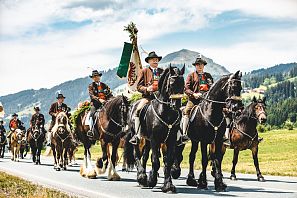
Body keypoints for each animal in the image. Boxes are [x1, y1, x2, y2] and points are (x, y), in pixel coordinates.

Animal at [123, 65, 184, 193]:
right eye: (171, 83)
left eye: (183, 83)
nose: (176, 105)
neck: (165, 112)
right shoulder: (155, 140)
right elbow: (155, 161)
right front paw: (152, 181)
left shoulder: (170, 140)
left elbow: (168, 161)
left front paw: (168, 185)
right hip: (138, 138)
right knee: (137, 155)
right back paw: (141, 177)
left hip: (147, 141)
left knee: (145, 157)